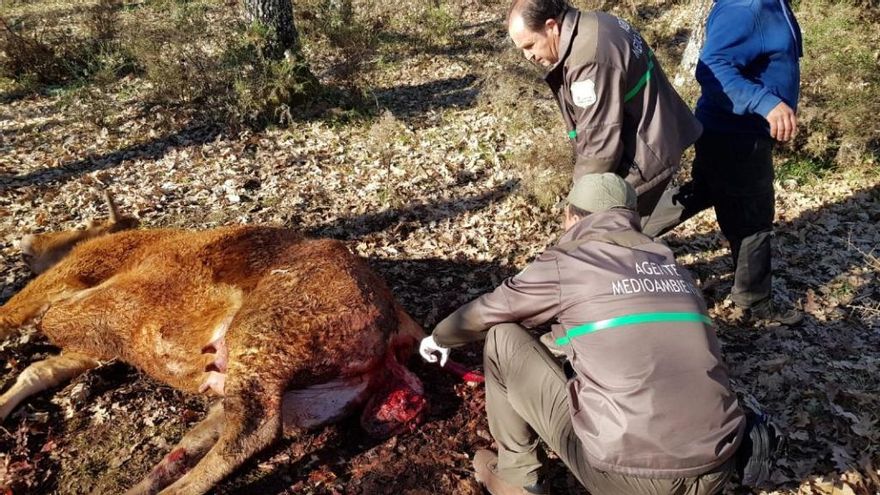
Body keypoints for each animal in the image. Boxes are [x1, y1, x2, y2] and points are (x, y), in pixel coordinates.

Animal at [0, 199, 446, 495]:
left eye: (88, 223)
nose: (27, 240)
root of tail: (402, 322)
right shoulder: (92, 345)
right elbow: (40, 368)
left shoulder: (73, 280)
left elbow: (27, 316)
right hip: (300, 395)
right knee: (207, 437)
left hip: (263, 336)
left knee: (252, 431)